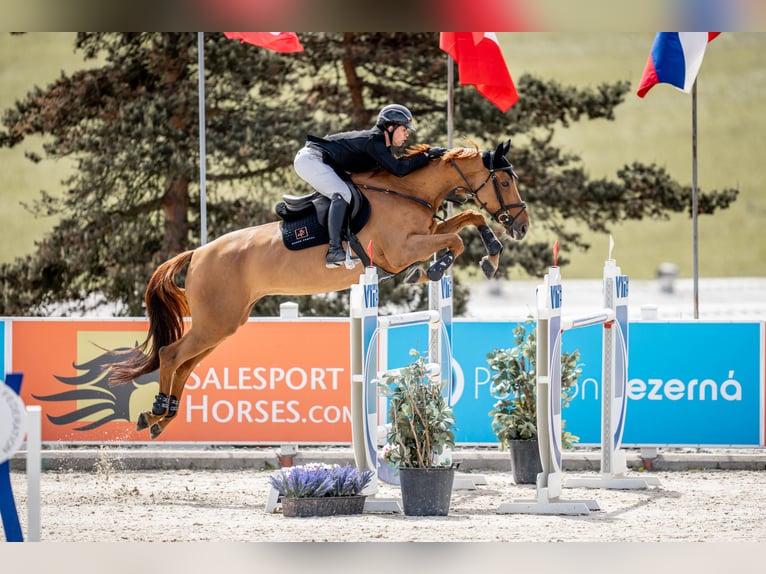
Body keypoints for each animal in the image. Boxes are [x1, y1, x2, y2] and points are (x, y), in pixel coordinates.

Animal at [109, 140, 528, 440]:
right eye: (506, 181)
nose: (521, 226)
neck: (408, 190)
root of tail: (197, 253)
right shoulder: (401, 250)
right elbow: (454, 238)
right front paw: (434, 269)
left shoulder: (424, 233)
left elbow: (468, 218)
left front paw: (491, 254)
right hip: (215, 322)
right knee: (170, 354)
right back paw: (157, 411)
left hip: (222, 325)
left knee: (185, 363)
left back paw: (161, 417)